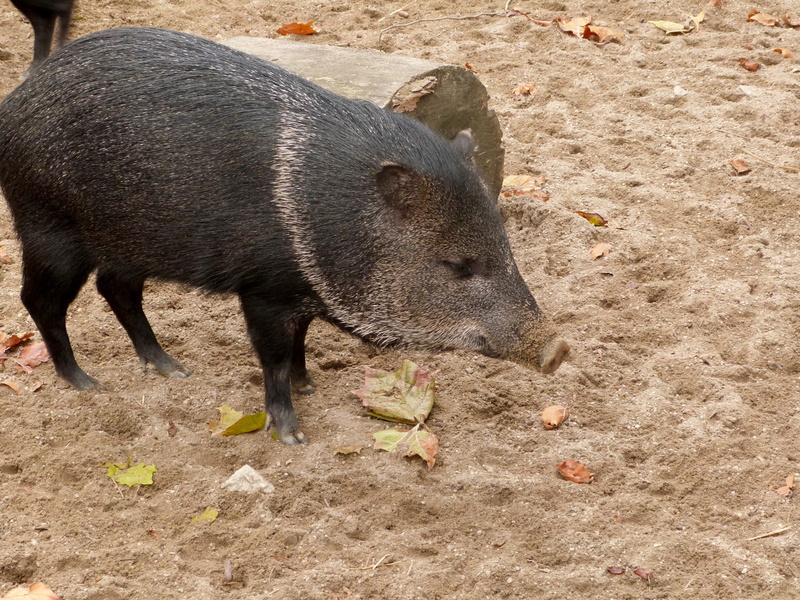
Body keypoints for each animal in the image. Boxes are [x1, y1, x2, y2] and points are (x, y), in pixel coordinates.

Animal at [0, 27, 570, 444]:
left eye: (506, 246)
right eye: (457, 265)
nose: (558, 350)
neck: (323, 218)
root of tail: (14, 105)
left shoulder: (302, 292)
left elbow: (301, 341)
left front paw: (310, 386)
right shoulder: (265, 291)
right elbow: (272, 358)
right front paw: (292, 435)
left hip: (130, 241)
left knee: (116, 290)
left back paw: (172, 371)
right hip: (48, 230)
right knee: (41, 300)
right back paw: (86, 383)